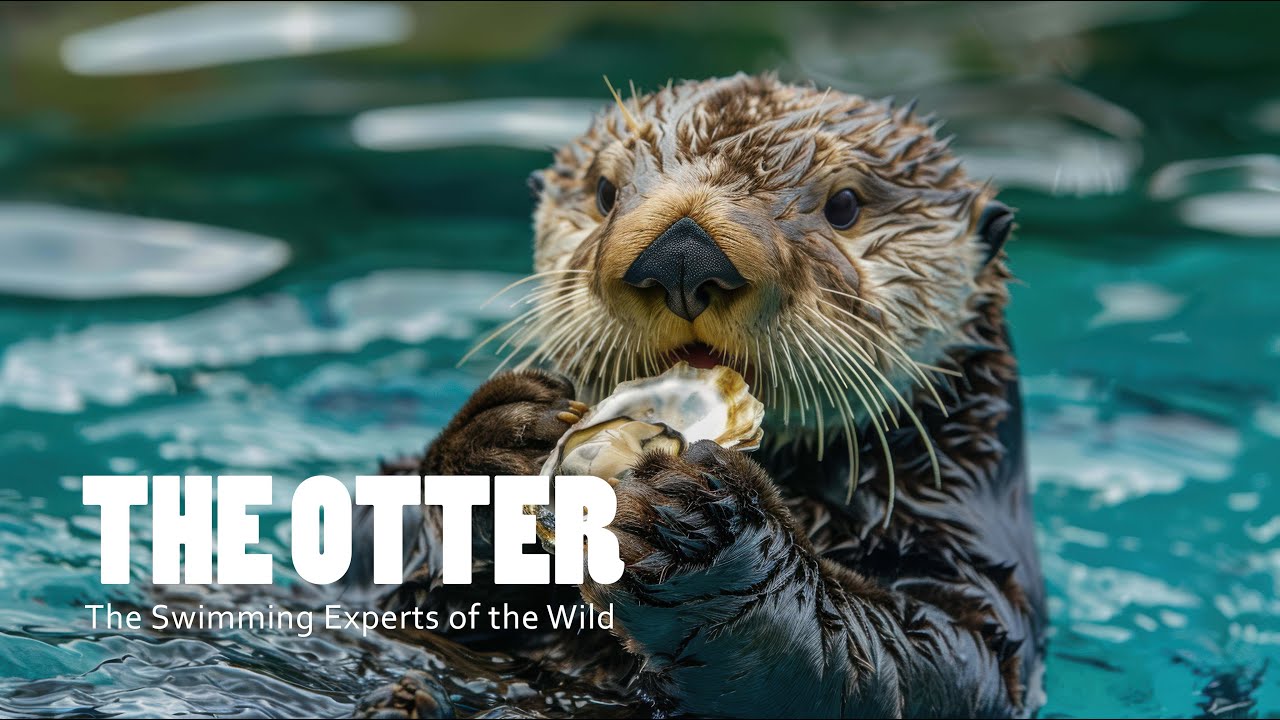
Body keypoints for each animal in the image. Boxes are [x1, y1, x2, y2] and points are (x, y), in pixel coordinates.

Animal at [356, 73, 1045, 719]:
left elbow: (907, 661)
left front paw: (700, 530)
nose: (682, 254)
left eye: (845, 204)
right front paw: (500, 446)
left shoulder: (969, 580)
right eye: (604, 193)